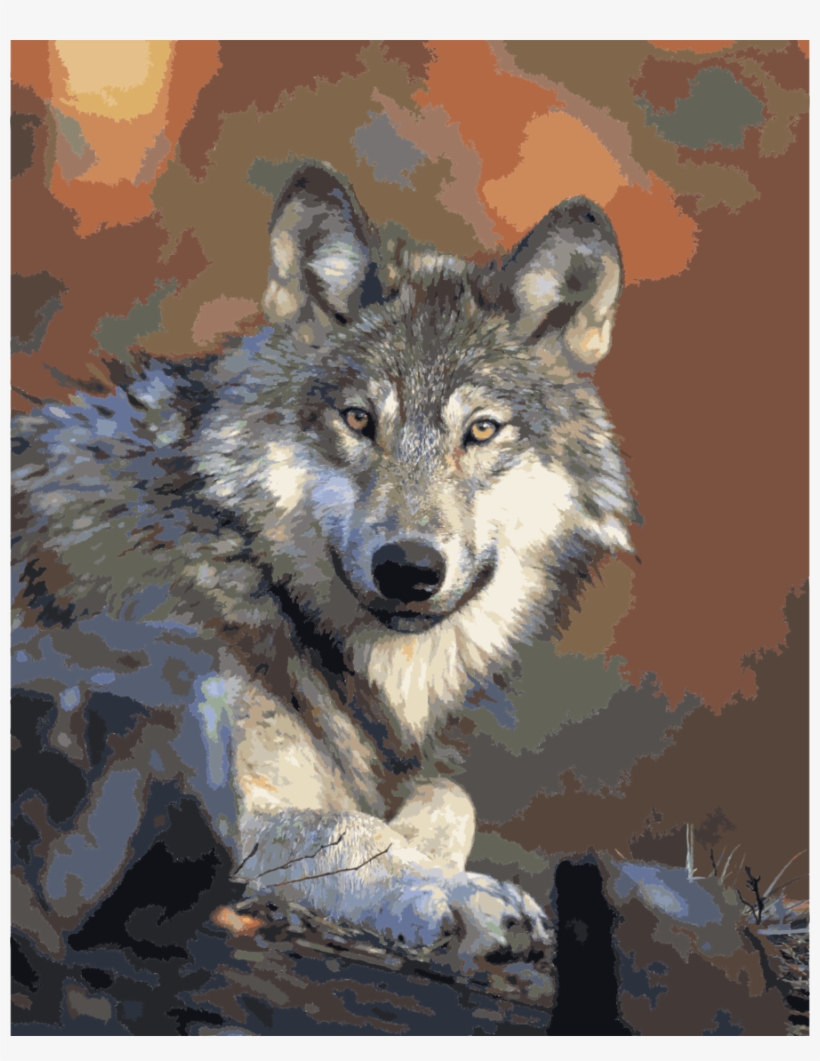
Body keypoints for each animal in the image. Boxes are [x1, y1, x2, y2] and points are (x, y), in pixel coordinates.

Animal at [12, 162, 632, 971]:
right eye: (360, 419)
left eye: (481, 430)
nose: (409, 568)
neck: (248, 570)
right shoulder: (217, 789)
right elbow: (347, 826)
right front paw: (454, 894)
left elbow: (448, 800)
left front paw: (434, 862)